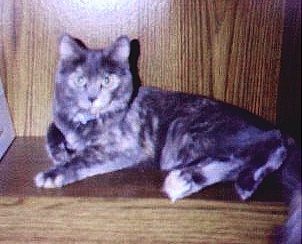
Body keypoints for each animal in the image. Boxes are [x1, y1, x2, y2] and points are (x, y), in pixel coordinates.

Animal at [34, 35, 300, 243]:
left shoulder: (124, 147)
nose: (92, 98)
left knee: (267, 145)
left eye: (107, 80)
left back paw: (193, 180)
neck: (87, 121)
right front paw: (59, 150)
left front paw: (54, 173)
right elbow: (52, 128)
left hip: (193, 129)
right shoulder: (62, 120)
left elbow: (85, 157)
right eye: (80, 79)